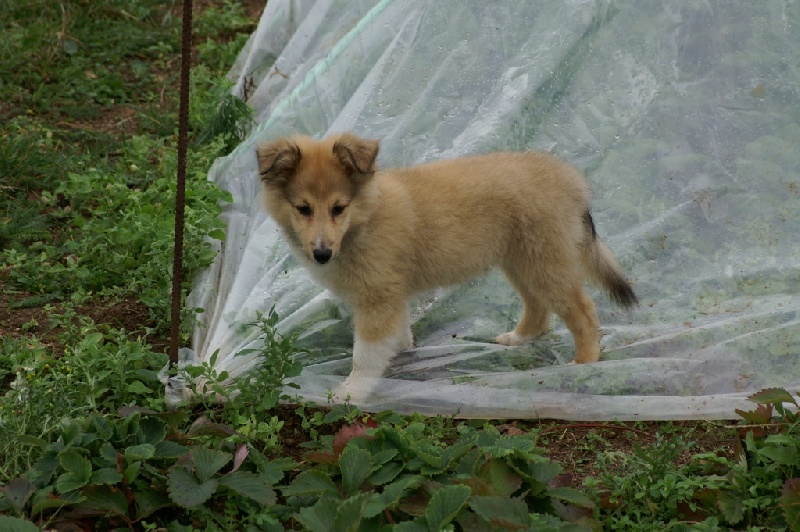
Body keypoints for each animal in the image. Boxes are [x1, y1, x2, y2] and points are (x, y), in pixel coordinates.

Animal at [256, 131, 636, 392]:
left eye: (338, 208)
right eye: (303, 208)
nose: (321, 254)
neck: (365, 220)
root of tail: (572, 180)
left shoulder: (377, 300)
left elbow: (364, 355)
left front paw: (351, 393)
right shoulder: (392, 296)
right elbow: (398, 334)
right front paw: (402, 358)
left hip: (544, 261)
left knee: (582, 310)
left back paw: (585, 362)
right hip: (520, 260)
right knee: (538, 307)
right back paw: (519, 338)